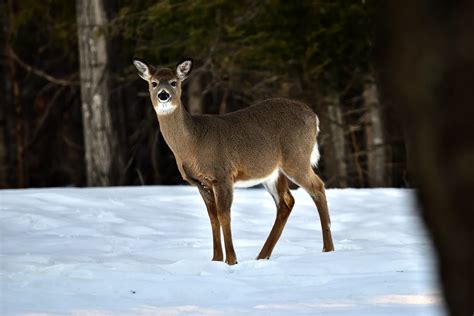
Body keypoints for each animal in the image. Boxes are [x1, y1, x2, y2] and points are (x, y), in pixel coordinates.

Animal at [131, 58, 336, 264]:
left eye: (174, 82)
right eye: (154, 83)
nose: (163, 95)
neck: (192, 143)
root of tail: (314, 116)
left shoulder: (222, 175)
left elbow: (224, 215)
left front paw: (231, 260)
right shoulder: (199, 182)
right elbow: (212, 217)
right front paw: (215, 260)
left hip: (296, 157)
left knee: (318, 187)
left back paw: (328, 249)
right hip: (273, 172)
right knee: (286, 202)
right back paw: (262, 256)